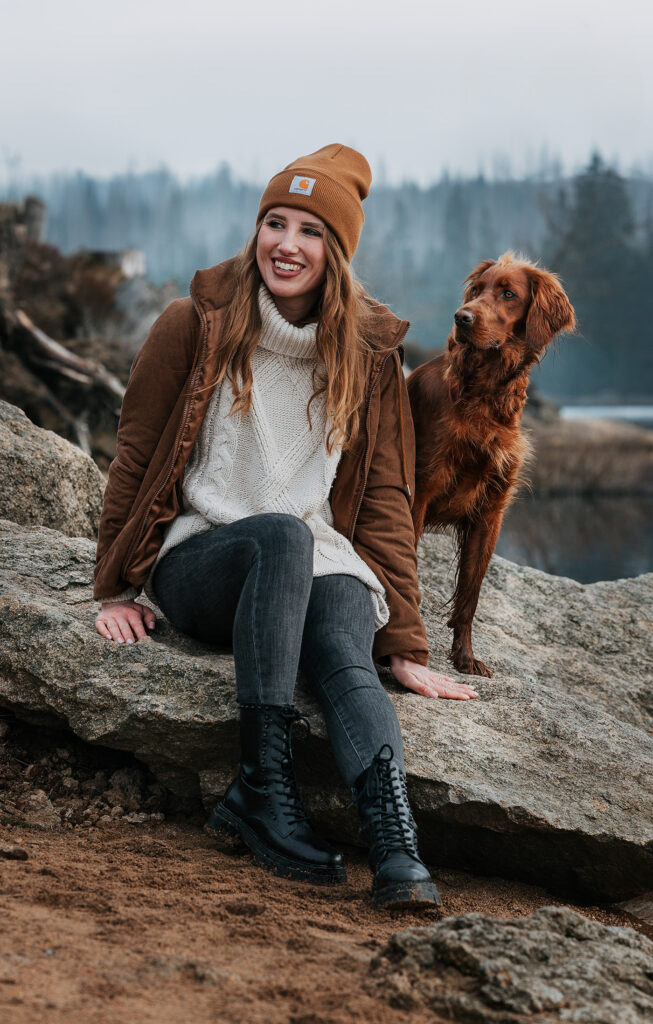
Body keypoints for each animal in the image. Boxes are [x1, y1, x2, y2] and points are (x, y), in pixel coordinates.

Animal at [409, 251, 577, 675]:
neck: (484, 394)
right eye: (476, 290)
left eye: (508, 293)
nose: (461, 317)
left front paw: (465, 657)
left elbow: (470, 595)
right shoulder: (419, 490)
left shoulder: (490, 510)